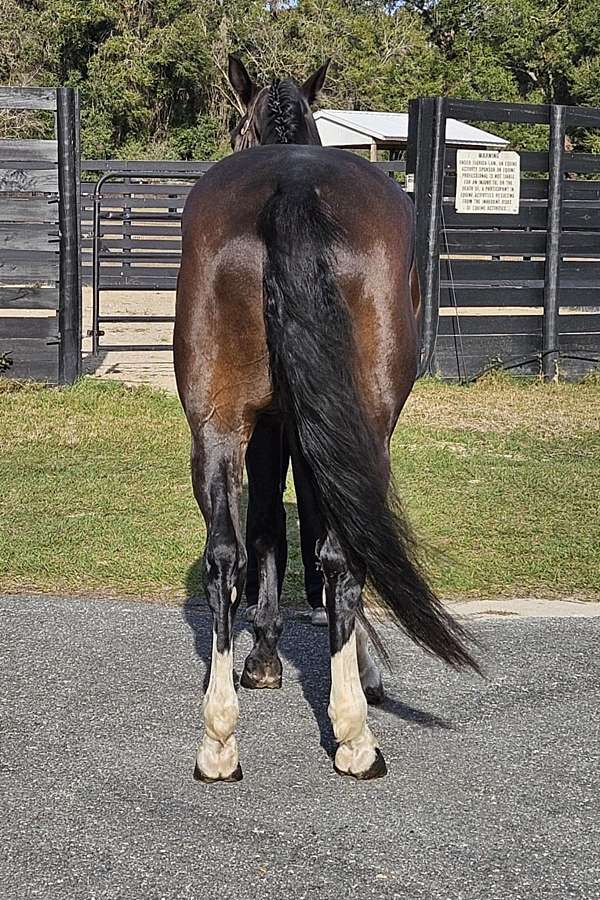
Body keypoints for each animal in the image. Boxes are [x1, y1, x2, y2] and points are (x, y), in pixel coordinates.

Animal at [173, 56, 478, 784]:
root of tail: (292, 186)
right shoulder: (307, 429)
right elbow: (314, 532)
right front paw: (349, 668)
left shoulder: (273, 427)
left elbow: (264, 533)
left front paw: (264, 661)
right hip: (362, 423)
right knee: (345, 551)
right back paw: (354, 736)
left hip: (216, 423)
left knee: (223, 554)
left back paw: (218, 740)